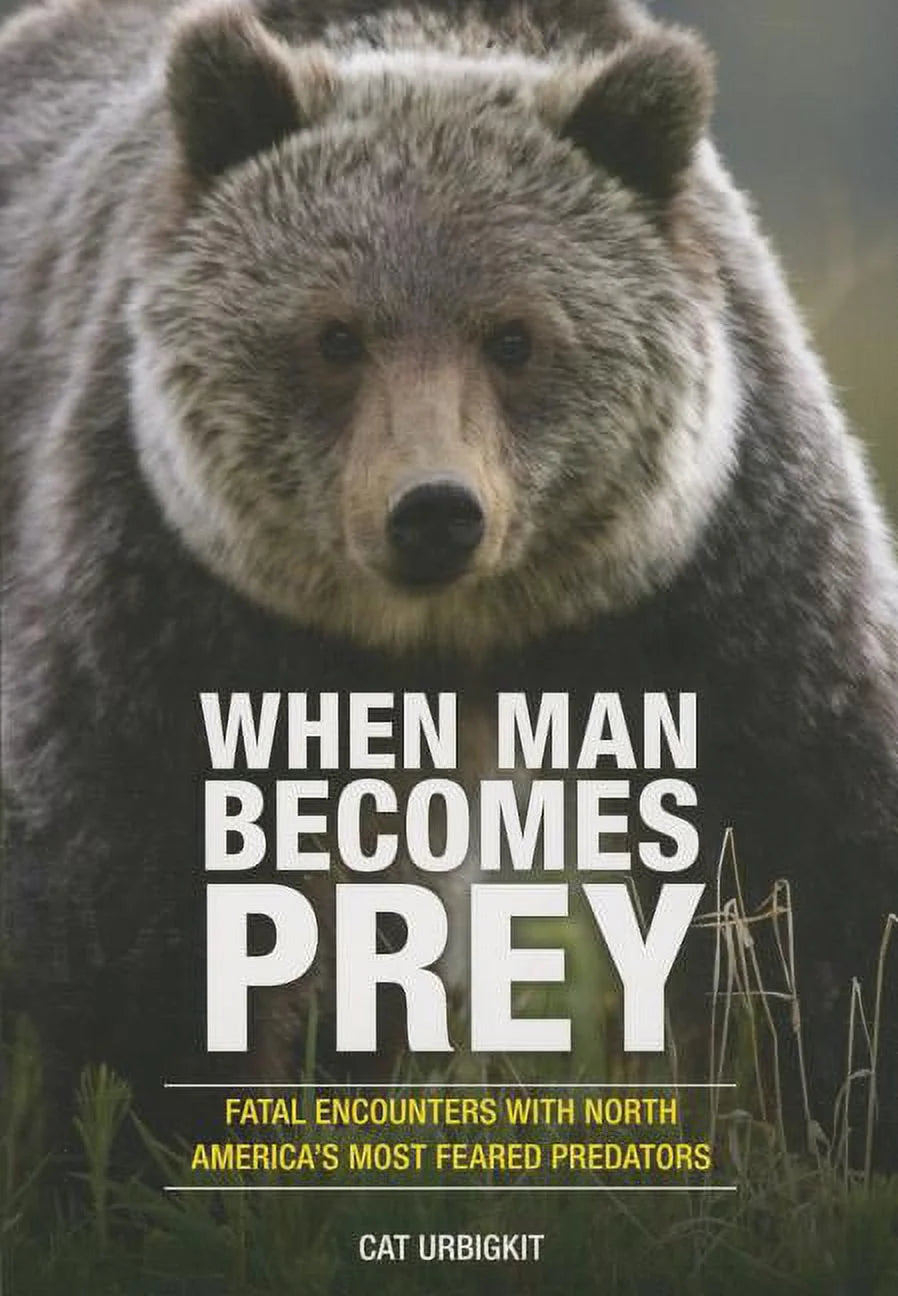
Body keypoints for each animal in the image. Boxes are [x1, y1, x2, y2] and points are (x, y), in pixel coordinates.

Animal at [1, 0, 896, 1167]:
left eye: (514, 336)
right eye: (335, 336)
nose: (433, 509)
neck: (447, 638)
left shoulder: (710, 570)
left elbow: (804, 847)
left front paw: (836, 1116)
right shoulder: (168, 579)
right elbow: (145, 888)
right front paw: (144, 1144)